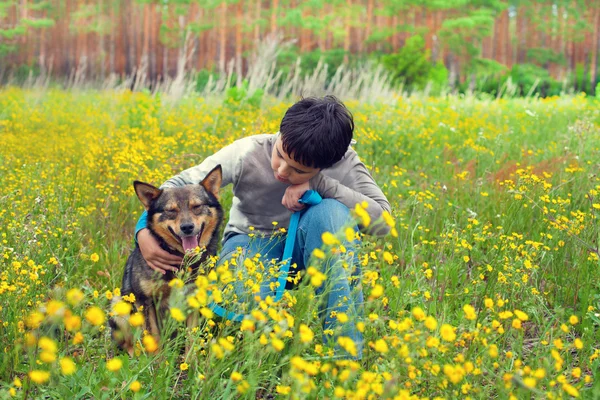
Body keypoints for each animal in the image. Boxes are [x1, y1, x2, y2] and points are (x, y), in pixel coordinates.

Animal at [109, 164, 223, 354]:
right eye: (171, 211)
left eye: (197, 206)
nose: (187, 227)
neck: (182, 262)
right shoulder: (146, 301)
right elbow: (153, 338)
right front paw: (156, 361)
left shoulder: (193, 301)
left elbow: (191, 340)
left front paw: (190, 361)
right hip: (119, 305)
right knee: (127, 344)